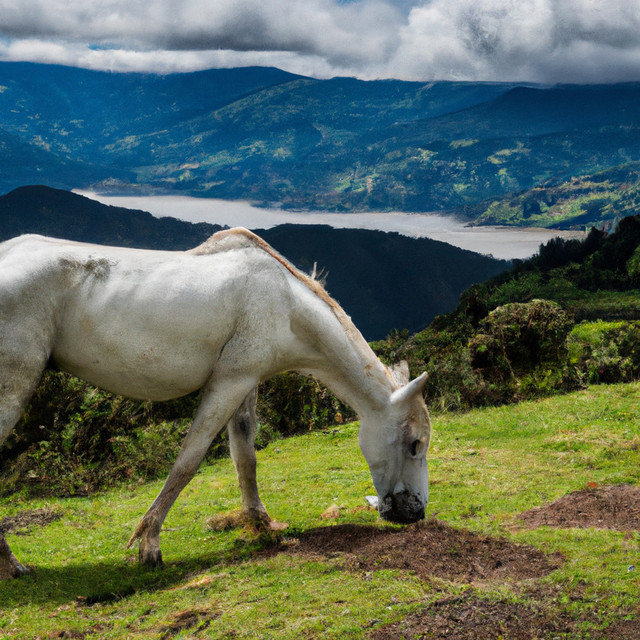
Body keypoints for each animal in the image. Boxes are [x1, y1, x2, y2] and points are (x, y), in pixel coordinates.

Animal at [0, 228, 430, 579]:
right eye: (415, 444)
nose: (416, 513)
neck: (286, 303)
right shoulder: (228, 381)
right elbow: (189, 460)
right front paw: (150, 543)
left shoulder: (246, 380)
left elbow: (245, 455)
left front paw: (259, 521)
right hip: (13, 385)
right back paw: (12, 563)